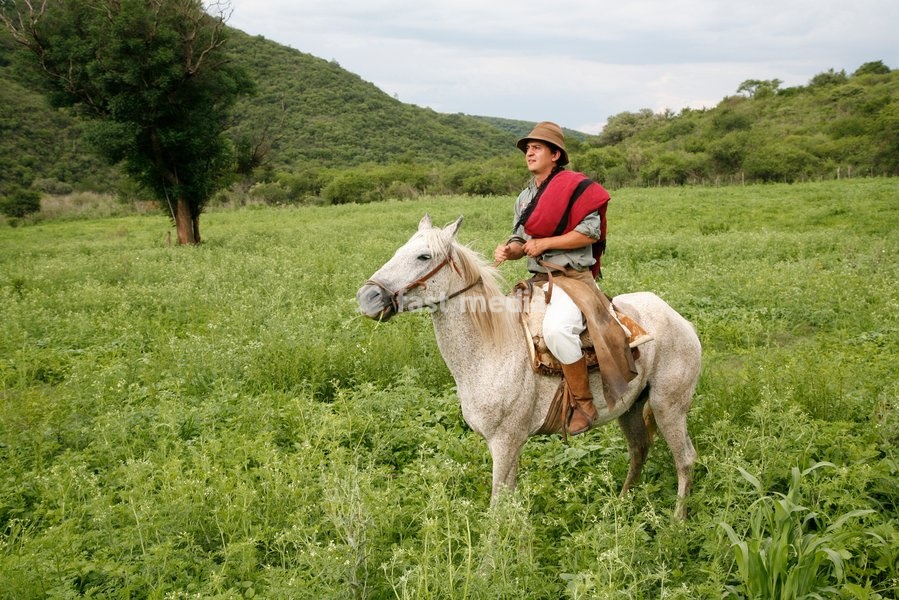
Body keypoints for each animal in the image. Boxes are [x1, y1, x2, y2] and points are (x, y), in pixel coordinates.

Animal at [357, 215, 701, 519]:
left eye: (423, 256)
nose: (367, 296)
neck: (492, 349)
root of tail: (681, 320)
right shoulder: (510, 445)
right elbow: (509, 500)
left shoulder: (505, 442)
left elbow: (497, 505)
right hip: (630, 408)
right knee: (639, 450)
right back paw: (620, 505)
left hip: (668, 406)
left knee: (685, 460)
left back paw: (677, 521)